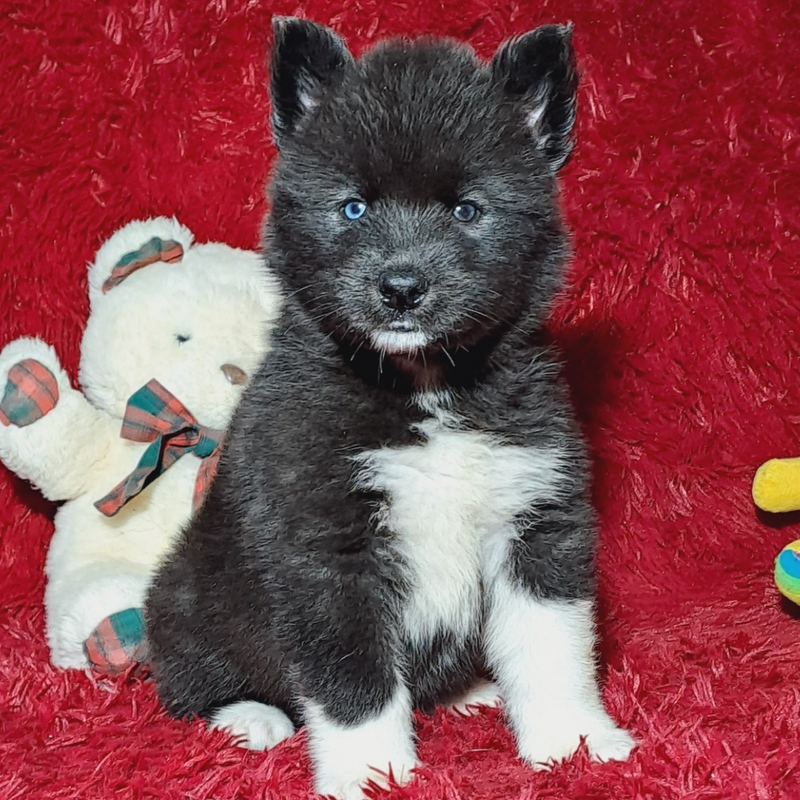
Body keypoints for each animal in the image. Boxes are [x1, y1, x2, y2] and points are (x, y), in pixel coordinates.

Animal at [147, 15, 636, 796]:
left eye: (466, 210)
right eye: (354, 207)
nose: (401, 289)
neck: (425, 388)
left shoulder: (536, 517)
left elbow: (553, 647)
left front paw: (575, 742)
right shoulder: (330, 548)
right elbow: (356, 680)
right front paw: (372, 772)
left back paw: (468, 690)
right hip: (188, 595)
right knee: (191, 681)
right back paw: (248, 717)